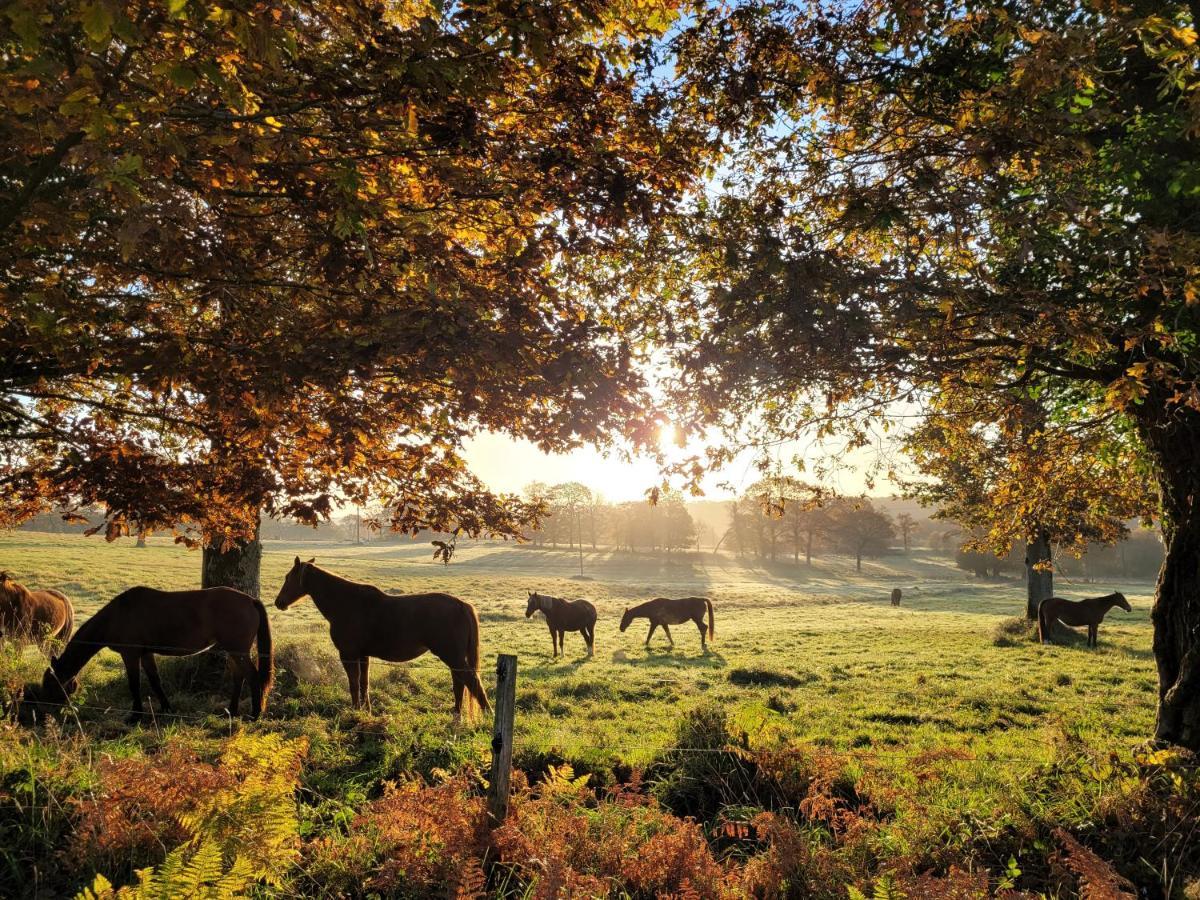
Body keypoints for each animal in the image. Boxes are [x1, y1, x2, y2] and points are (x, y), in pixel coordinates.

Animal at [29, 588, 274, 724]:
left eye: (51, 683)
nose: (43, 711)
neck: (117, 615)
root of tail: (250, 600)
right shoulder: (146, 655)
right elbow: (155, 681)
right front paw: (166, 708)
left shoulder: (131, 655)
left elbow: (135, 684)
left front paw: (135, 716)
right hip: (234, 651)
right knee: (239, 677)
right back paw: (231, 712)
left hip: (238, 650)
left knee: (253, 678)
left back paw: (254, 715)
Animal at [274, 556, 487, 720]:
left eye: (288, 578)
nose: (279, 603)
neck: (346, 603)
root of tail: (462, 605)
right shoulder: (363, 655)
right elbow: (364, 683)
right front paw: (366, 711)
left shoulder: (348, 654)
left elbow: (354, 684)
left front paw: (355, 712)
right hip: (453, 658)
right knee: (460, 684)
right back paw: (457, 716)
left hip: (452, 656)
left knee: (472, 682)